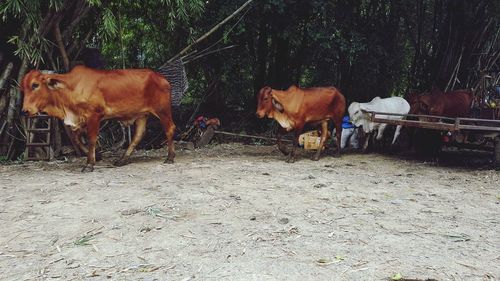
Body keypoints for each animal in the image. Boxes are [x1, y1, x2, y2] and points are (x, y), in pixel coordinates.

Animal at [22, 65, 178, 171]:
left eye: (35, 85)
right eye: (22, 88)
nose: (25, 111)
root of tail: (162, 78)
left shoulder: (94, 116)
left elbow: (91, 139)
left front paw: (89, 164)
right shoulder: (81, 120)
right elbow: (76, 139)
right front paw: (96, 155)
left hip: (162, 110)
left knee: (170, 129)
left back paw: (170, 157)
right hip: (141, 115)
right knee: (138, 135)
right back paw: (122, 159)